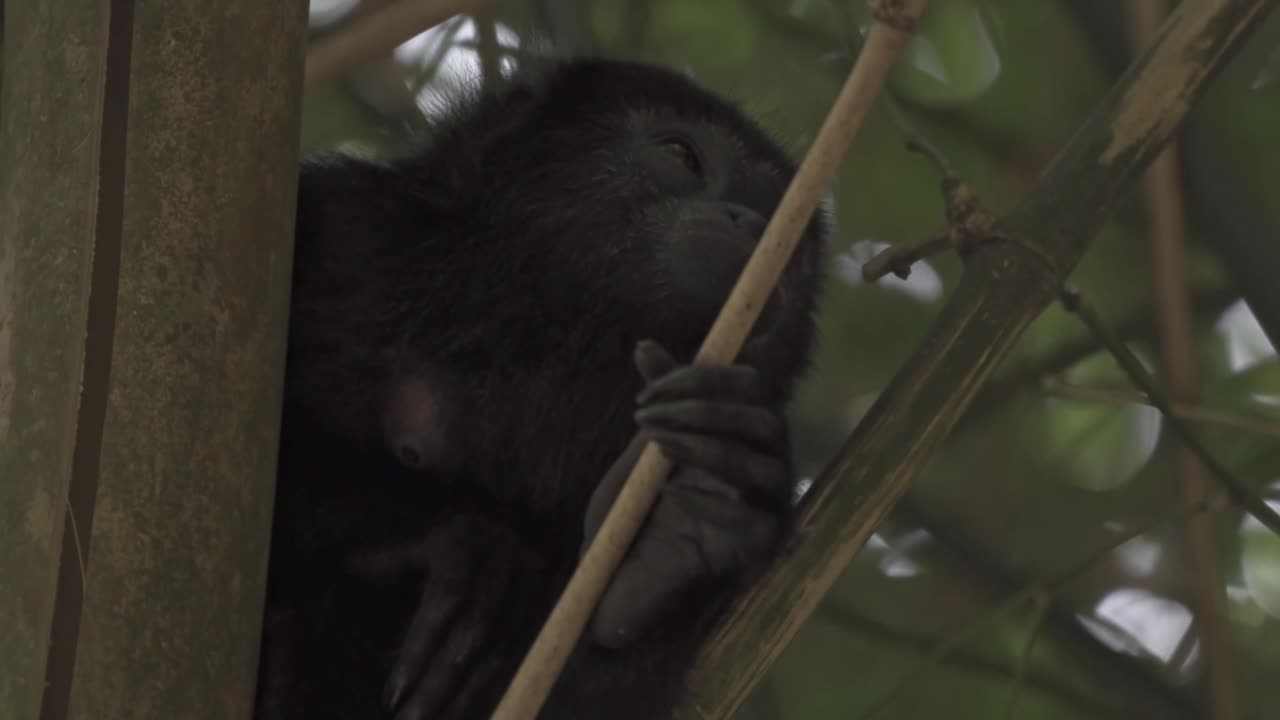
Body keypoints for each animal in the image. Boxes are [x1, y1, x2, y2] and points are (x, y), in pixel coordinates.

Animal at [255, 57, 830, 720]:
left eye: (792, 235)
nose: (758, 227)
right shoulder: (343, 230)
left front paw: (685, 526)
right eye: (682, 155)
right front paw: (472, 549)